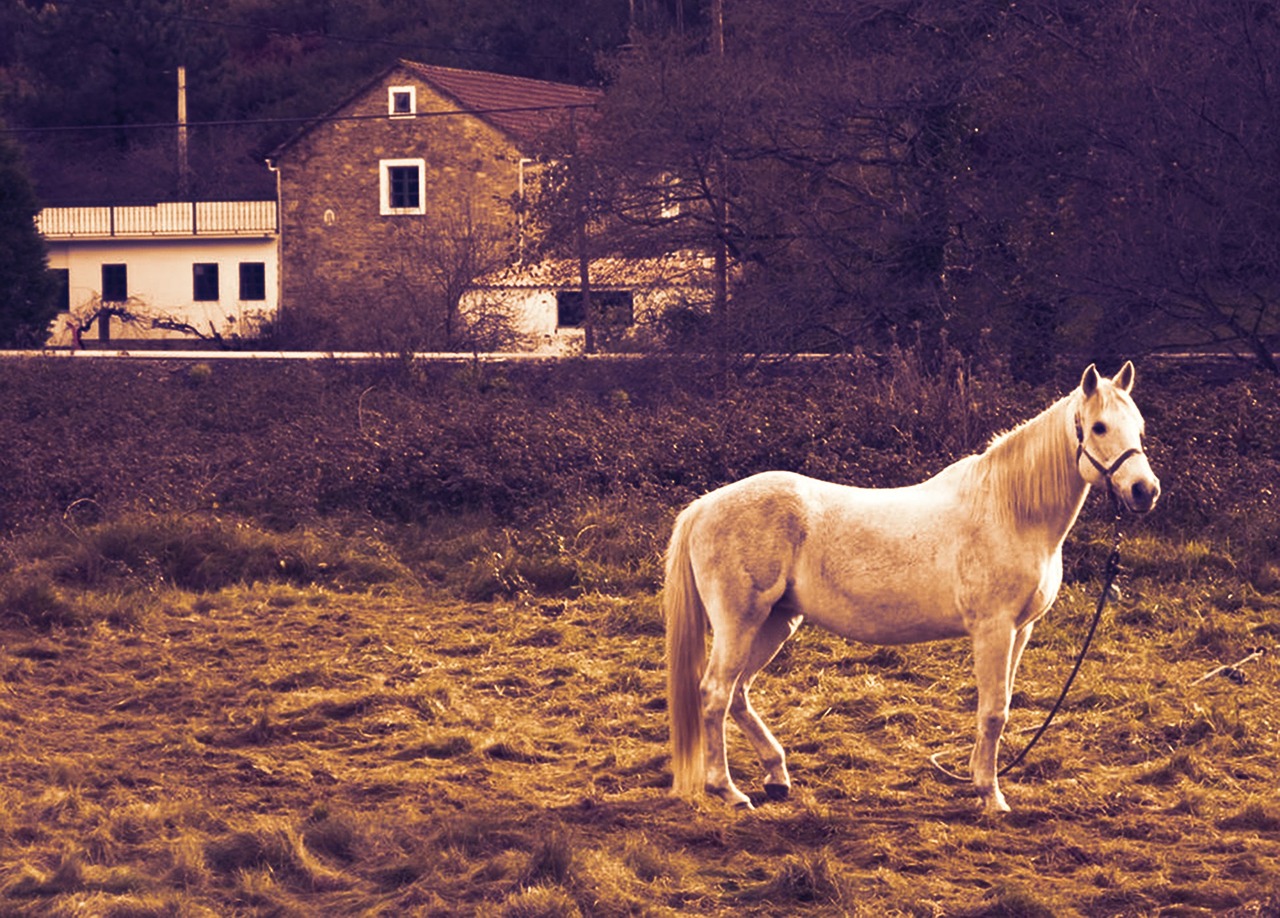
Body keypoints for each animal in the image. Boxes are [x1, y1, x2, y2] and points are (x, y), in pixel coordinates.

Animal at [670, 361, 1162, 814]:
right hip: (740, 622)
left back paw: (776, 775)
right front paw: (991, 796)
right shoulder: (994, 630)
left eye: (1139, 427)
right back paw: (729, 791)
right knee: (715, 693)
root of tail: (704, 506)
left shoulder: (1021, 630)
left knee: (738, 693)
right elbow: (993, 711)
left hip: (776, 622)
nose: (1145, 491)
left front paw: (980, 779)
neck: (1008, 511)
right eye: (1098, 427)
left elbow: (1000, 706)